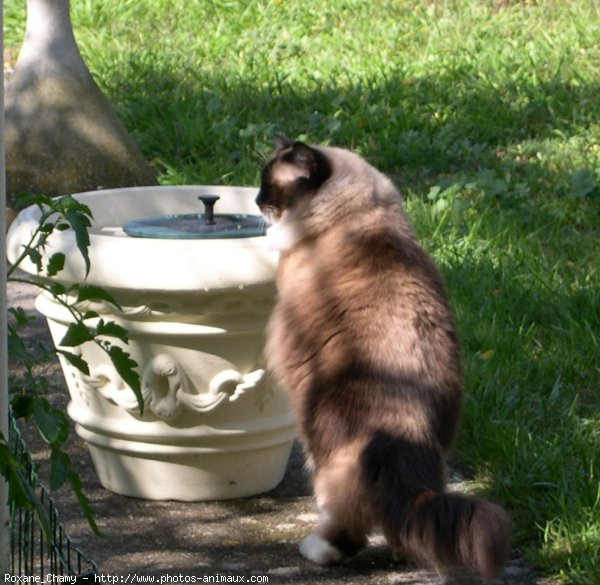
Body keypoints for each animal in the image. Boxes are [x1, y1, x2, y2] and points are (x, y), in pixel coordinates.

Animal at [255, 137, 512, 580]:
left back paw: (317, 549)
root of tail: (408, 428)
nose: (256, 202)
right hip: (436, 459)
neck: (360, 214)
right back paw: (402, 553)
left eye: (269, 186)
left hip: (321, 454)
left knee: (348, 527)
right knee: (405, 524)